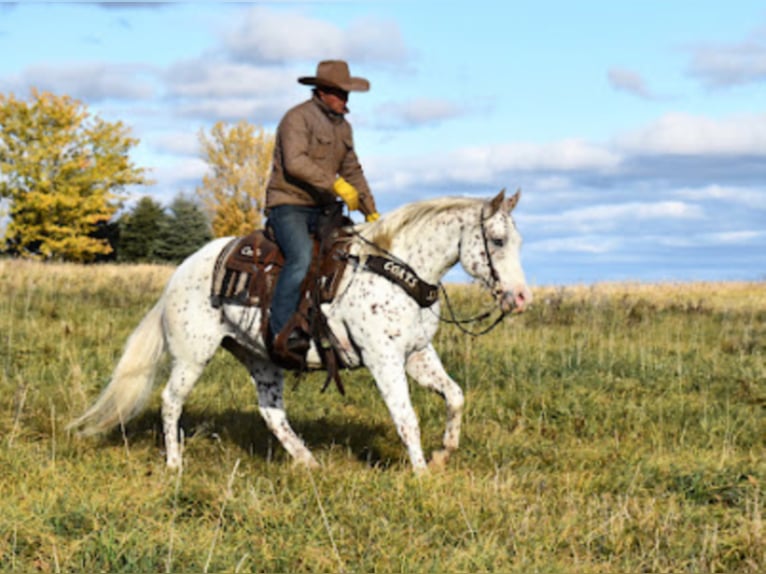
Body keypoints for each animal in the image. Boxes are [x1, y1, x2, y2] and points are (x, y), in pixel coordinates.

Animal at [69, 189, 532, 472]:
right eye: (497, 240)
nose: (521, 297)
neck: (395, 270)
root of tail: (180, 272)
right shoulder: (383, 360)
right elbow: (406, 417)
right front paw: (420, 474)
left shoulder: (416, 355)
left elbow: (455, 396)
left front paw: (441, 455)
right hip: (192, 355)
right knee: (170, 401)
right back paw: (174, 463)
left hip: (259, 358)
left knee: (272, 412)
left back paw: (308, 462)